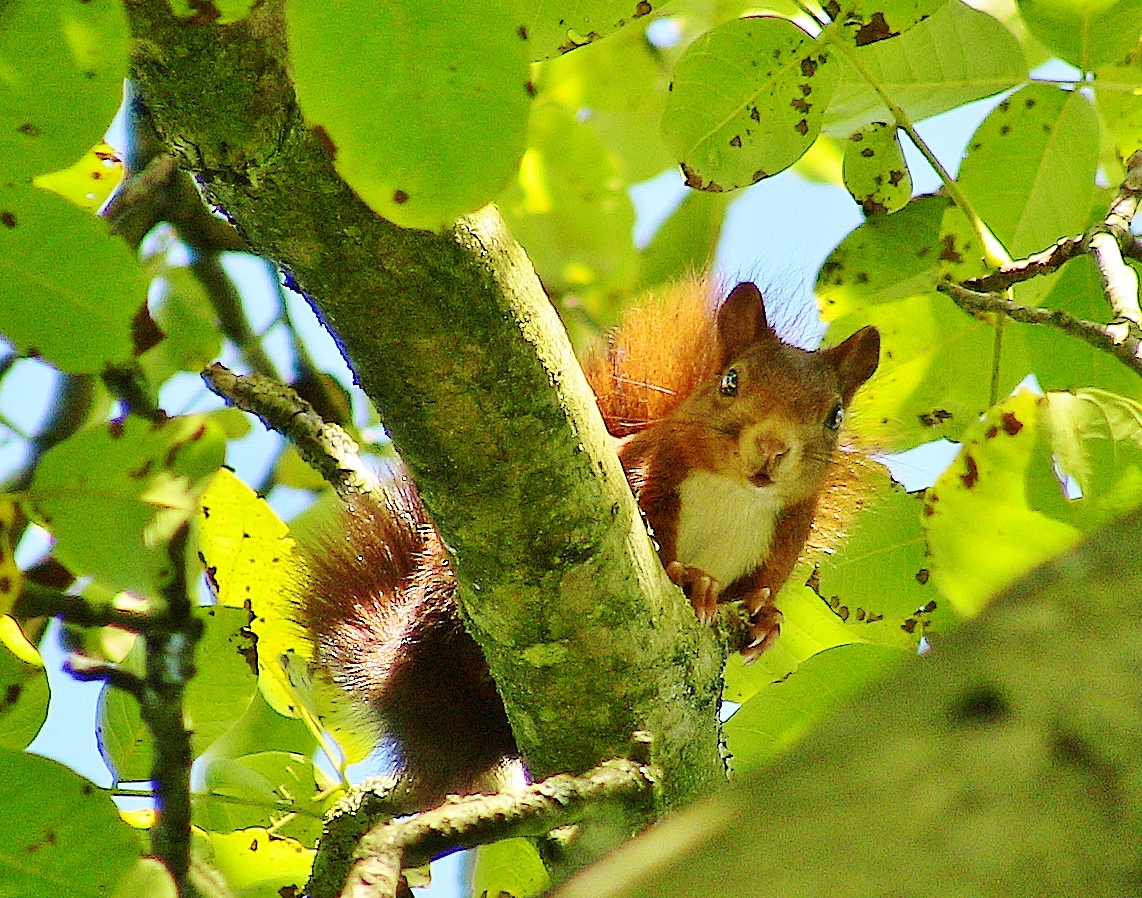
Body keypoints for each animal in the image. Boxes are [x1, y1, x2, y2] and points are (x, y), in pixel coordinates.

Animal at [299, 277, 877, 799]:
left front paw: (765, 618)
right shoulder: (647, 475)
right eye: (730, 382)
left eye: (835, 415)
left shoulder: (785, 538)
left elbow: (765, 586)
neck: (737, 495)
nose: (772, 448)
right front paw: (690, 580)